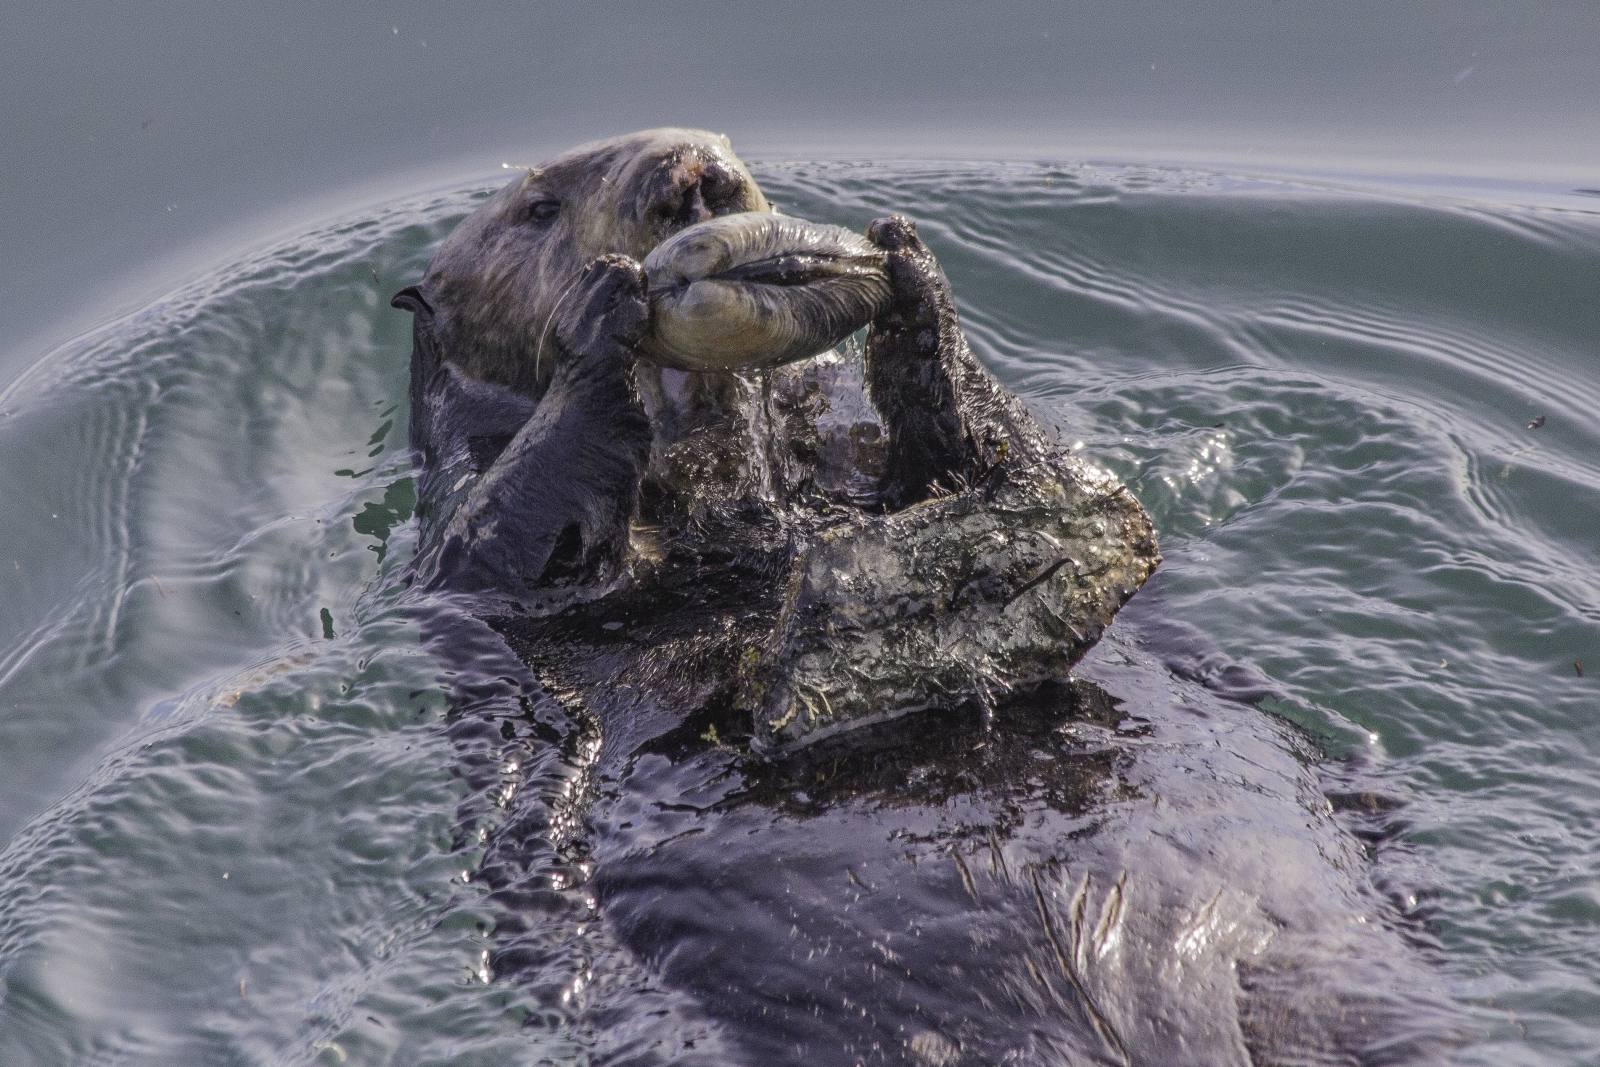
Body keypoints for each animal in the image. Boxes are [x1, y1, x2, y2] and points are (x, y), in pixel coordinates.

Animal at [391, 130, 1461, 1065]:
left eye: (725, 144)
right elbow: (515, 545)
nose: (690, 170)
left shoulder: (852, 453)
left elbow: (947, 461)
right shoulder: (464, 568)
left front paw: (911, 283)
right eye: (537, 208)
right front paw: (601, 306)